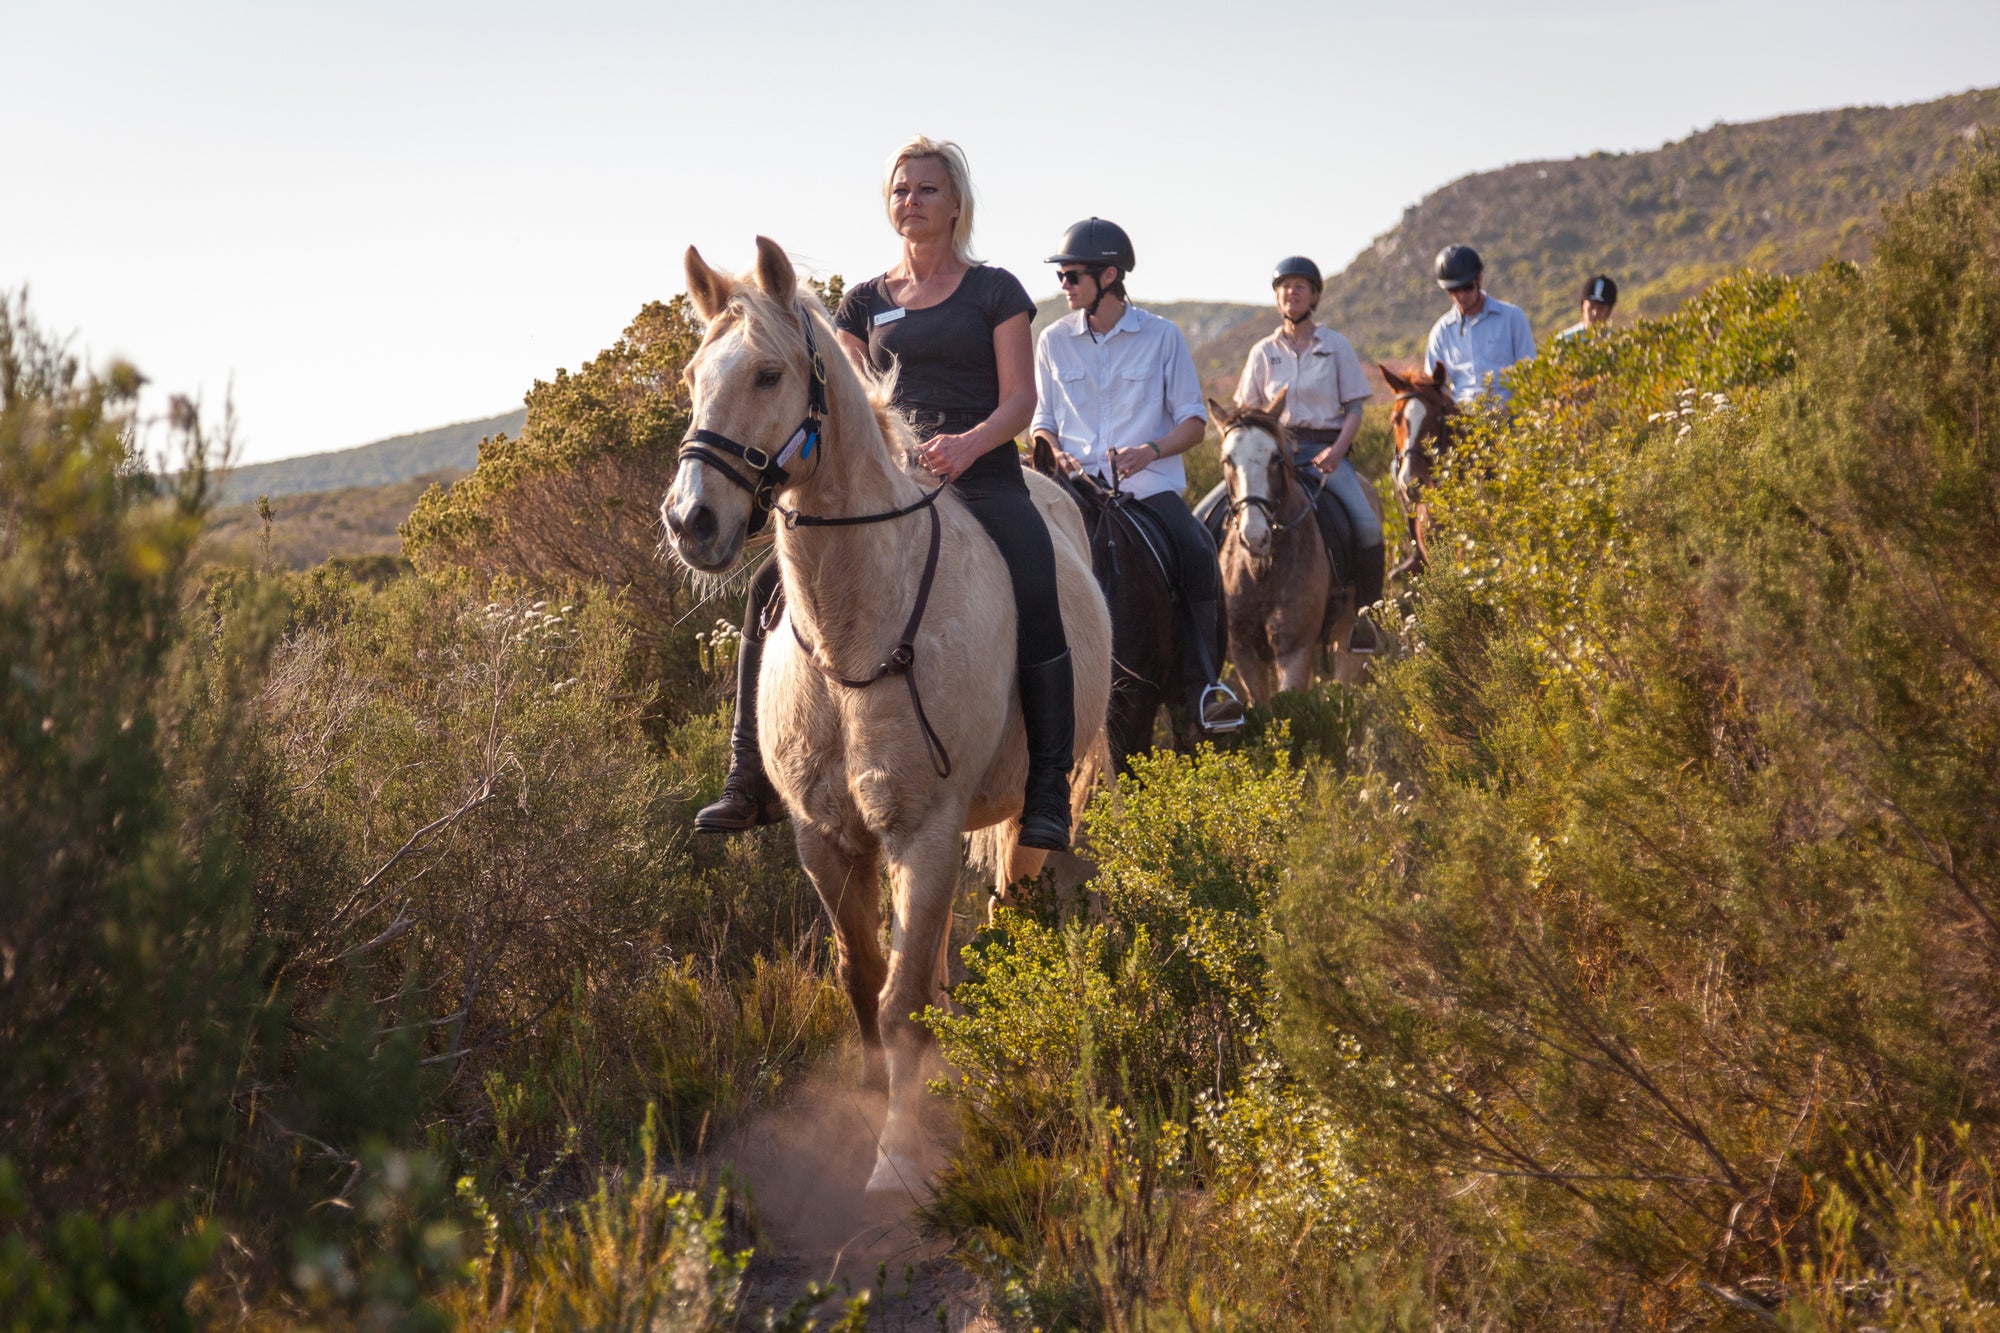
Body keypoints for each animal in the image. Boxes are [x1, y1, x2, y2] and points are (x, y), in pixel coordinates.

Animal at [661, 238, 1112, 1195]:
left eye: (768, 374)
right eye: (691, 376)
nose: (691, 521)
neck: (854, 631)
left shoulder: (925, 831)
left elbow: (901, 999)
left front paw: (898, 1155)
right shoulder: (826, 837)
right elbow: (865, 976)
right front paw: (876, 1094)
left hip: (1042, 801)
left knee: (1025, 892)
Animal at [1209, 395, 1375, 700]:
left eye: (1275, 458)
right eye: (1227, 460)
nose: (1255, 537)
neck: (1261, 572)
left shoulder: (1294, 650)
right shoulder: (1245, 652)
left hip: (1347, 632)